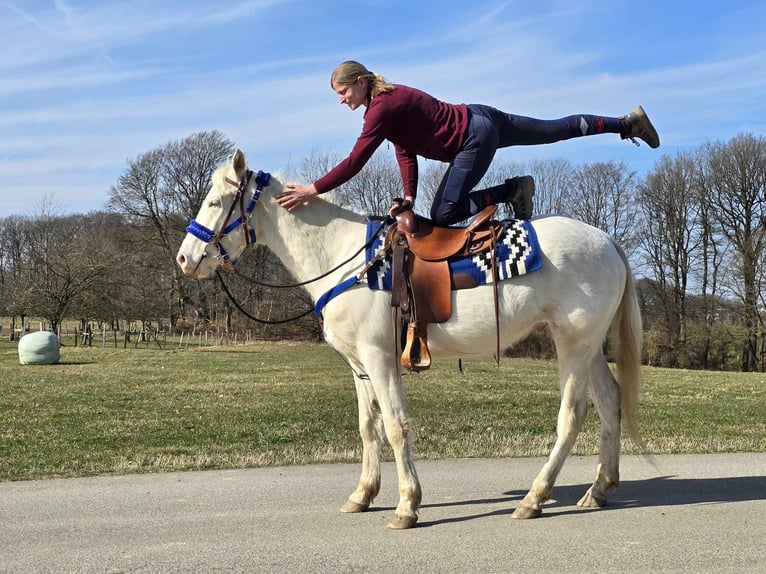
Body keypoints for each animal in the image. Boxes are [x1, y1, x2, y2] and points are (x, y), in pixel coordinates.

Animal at [177, 150, 644, 532]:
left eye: (215, 202)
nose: (185, 258)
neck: (344, 258)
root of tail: (607, 240)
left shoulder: (380, 358)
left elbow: (396, 426)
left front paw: (407, 505)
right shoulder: (359, 365)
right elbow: (369, 427)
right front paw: (363, 494)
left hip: (574, 344)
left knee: (572, 417)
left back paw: (534, 498)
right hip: (589, 347)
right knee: (610, 402)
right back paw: (599, 488)